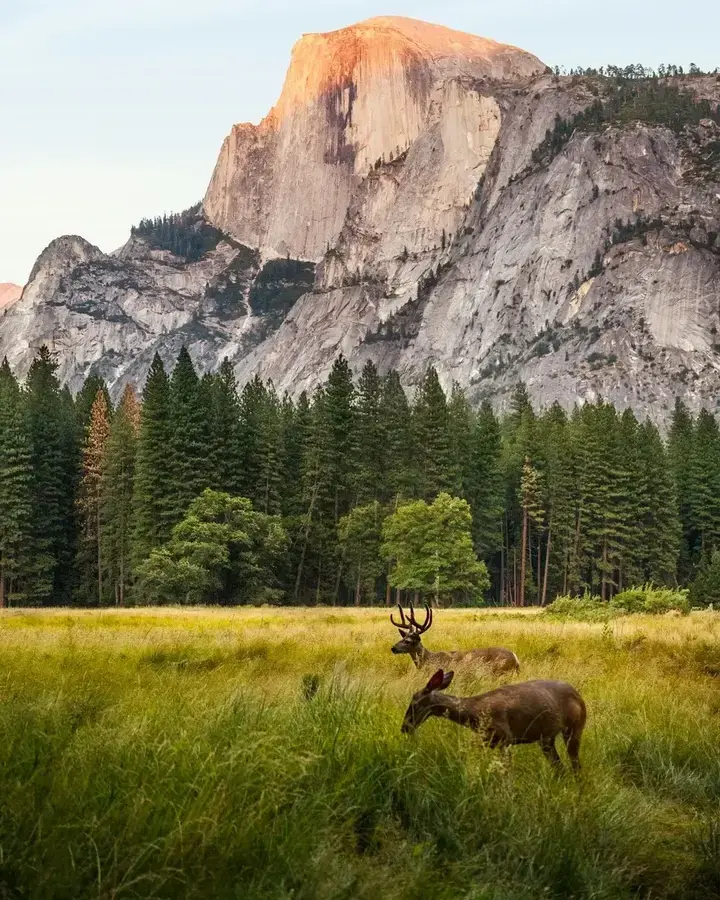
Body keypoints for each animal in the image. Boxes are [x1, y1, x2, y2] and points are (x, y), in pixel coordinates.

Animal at [390, 603, 520, 675]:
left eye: (408, 641)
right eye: (402, 637)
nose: (393, 648)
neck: (428, 660)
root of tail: (515, 658)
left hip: (500, 672)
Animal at [401, 668, 586, 772]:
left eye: (414, 703)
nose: (404, 727)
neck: (474, 713)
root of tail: (579, 695)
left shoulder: (505, 738)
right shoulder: (488, 740)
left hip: (575, 728)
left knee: (575, 765)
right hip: (546, 739)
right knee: (560, 767)